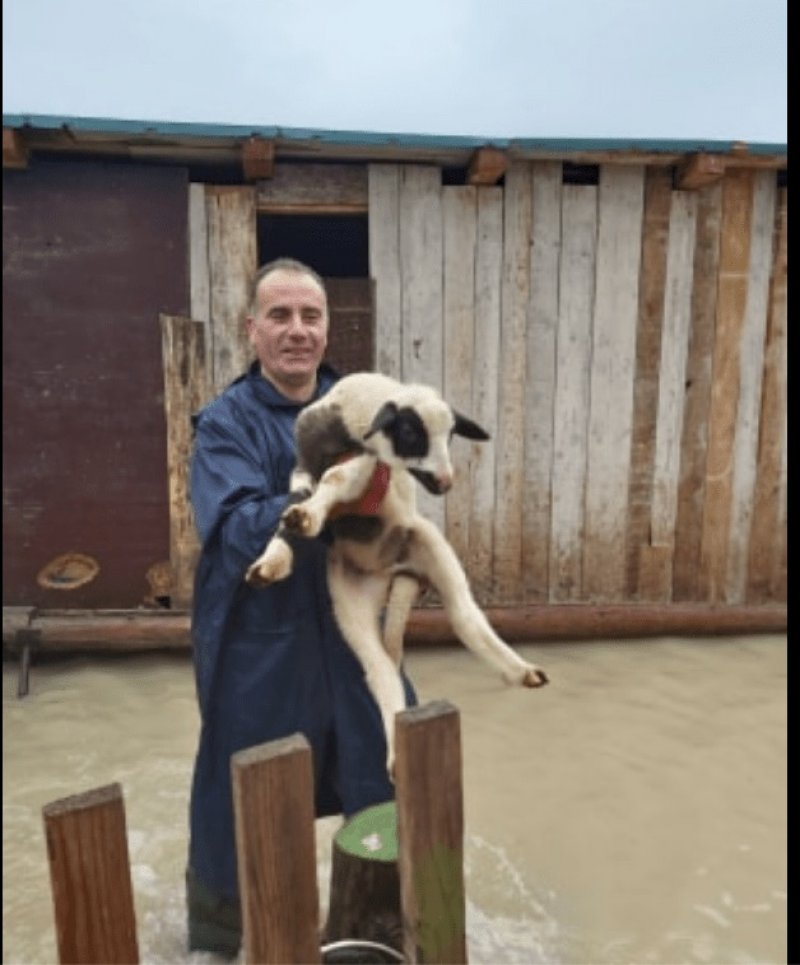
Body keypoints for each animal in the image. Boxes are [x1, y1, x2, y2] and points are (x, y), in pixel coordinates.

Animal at [245, 372, 548, 774]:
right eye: (410, 432)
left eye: (451, 435)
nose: (446, 481)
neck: (348, 421)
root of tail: (391, 569)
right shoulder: (303, 464)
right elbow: (296, 500)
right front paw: (277, 555)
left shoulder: (370, 467)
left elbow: (339, 476)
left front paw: (303, 521)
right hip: (349, 596)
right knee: (381, 670)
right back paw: (394, 753)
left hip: (430, 547)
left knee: (466, 617)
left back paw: (522, 671)